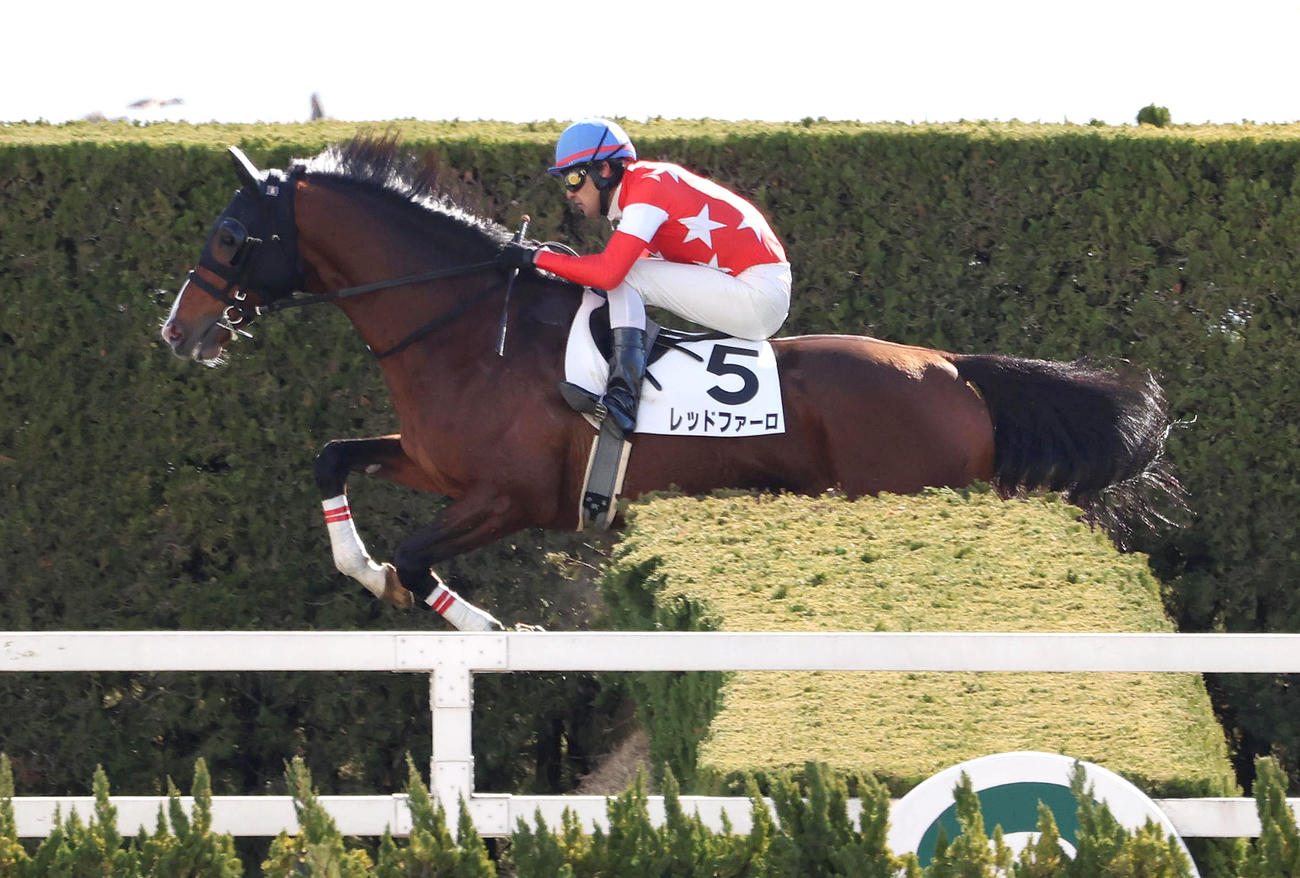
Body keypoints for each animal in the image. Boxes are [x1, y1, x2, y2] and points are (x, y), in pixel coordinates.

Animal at [161, 135, 1180, 631]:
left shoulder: (513, 496)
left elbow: (418, 558)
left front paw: (493, 630)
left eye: (229, 235)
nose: (179, 329)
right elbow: (334, 461)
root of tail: (952, 370)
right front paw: (361, 567)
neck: (467, 330)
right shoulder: (434, 465)